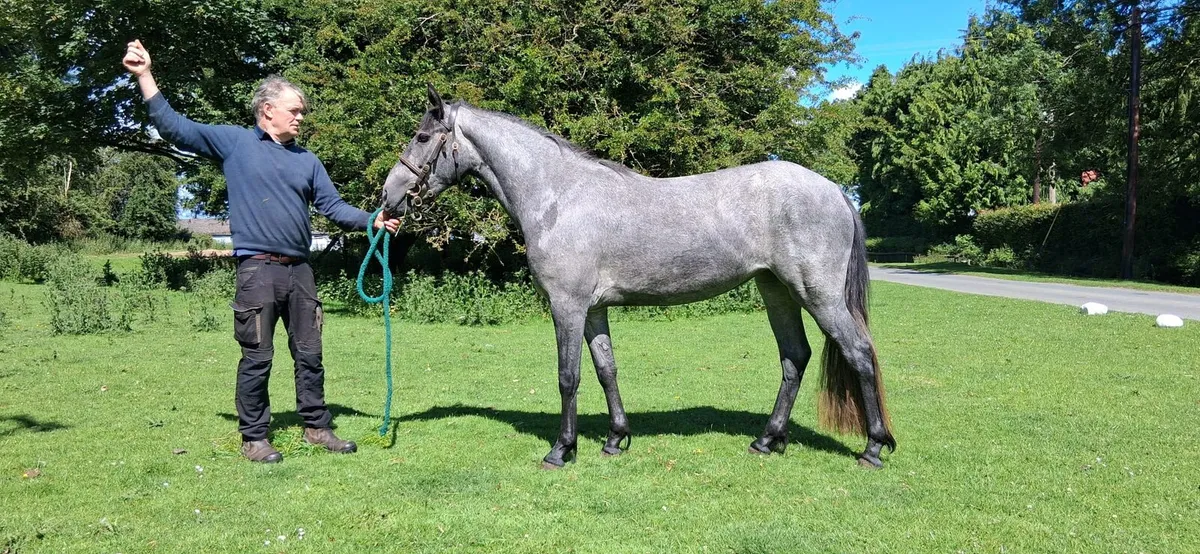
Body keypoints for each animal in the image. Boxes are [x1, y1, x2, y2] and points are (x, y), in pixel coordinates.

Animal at [380, 85, 895, 469]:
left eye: (422, 137)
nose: (389, 197)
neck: (558, 195)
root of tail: (834, 190)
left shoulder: (567, 307)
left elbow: (568, 376)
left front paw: (562, 449)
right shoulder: (593, 311)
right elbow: (606, 369)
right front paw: (615, 439)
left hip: (818, 295)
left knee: (859, 353)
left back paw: (873, 446)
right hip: (778, 292)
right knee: (794, 358)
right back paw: (767, 440)